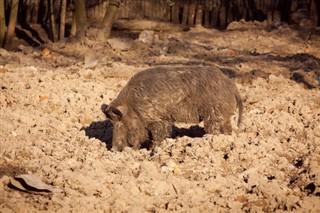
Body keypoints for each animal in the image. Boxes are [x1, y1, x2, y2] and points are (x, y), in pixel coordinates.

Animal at [102, 65, 242, 151]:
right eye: (112, 123)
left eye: (121, 122)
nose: (114, 149)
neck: (134, 106)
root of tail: (232, 86)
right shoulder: (164, 119)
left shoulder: (157, 118)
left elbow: (158, 135)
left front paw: (155, 149)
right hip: (224, 117)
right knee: (228, 130)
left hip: (214, 115)